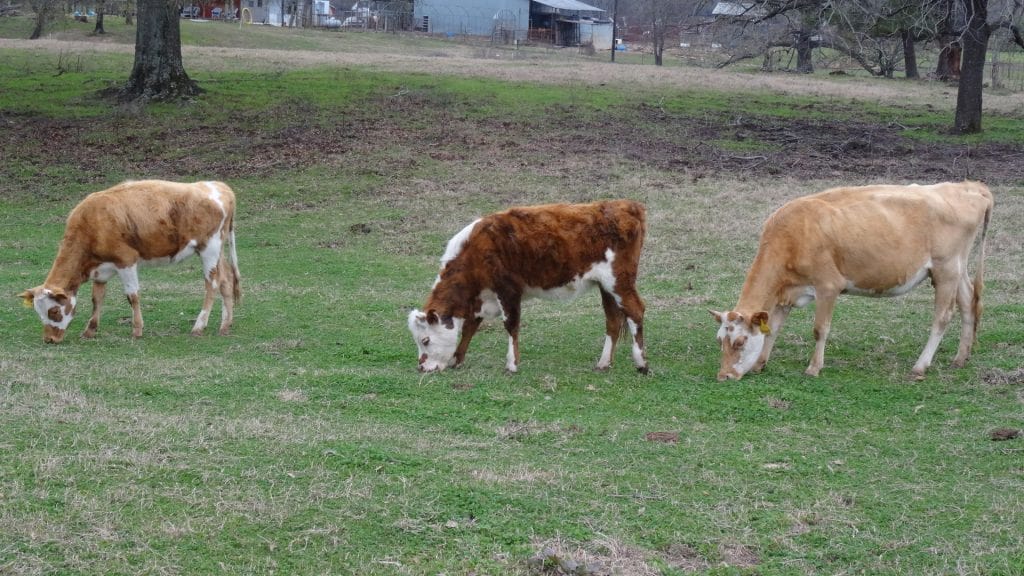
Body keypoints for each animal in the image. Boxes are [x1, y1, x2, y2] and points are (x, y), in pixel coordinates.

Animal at [19, 179, 239, 340]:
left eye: (54, 311)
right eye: (39, 313)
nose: (49, 339)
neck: (92, 223)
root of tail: (218, 186)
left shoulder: (126, 261)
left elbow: (132, 296)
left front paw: (137, 330)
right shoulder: (101, 270)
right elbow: (97, 298)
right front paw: (90, 330)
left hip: (209, 248)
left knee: (211, 285)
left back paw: (199, 326)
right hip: (217, 250)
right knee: (226, 281)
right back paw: (225, 326)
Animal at [407, 199, 647, 373]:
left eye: (425, 340)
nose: (421, 367)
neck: (476, 251)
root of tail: (626, 205)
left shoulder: (509, 290)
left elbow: (511, 325)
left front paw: (512, 364)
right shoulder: (481, 298)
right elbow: (469, 327)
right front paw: (457, 359)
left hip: (619, 281)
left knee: (635, 310)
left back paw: (641, 363)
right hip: (606, 287)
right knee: (613, 320)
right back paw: (604, 363)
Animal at [712, 181, 991, 379]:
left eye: (740, 341)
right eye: (719, 340)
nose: (724, 375)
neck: (793, 235)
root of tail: (970, 187)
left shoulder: (828, 286)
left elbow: (820, 329)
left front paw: (814, 368)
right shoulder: (787, 293)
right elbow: (773, 329)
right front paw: (760, 363)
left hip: (946, 268)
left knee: (942, 317)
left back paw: (920, 366)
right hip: (957, 268)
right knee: (968, 304)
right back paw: (960, 358)